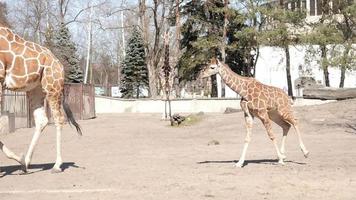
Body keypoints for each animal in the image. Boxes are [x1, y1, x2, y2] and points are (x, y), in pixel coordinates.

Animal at [0, 23, 81, 173]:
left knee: (59, 119)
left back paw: (56, 165)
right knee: (42, 120)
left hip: (52, 88)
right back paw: (25, 163)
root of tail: (59, 65)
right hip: (35, 89)